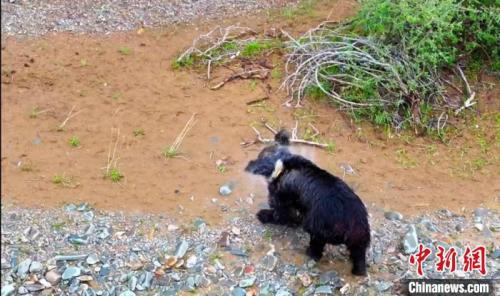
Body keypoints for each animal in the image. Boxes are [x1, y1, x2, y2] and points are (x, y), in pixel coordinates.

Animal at [246, 131, 372, 276]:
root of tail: (353, 224)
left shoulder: (282, 201)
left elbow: (281, 215)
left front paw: (265, 215)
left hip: (318, 230)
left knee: (316, 249)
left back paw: (308, 252)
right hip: (359, 242)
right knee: (358, 257)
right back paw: (358, 270)